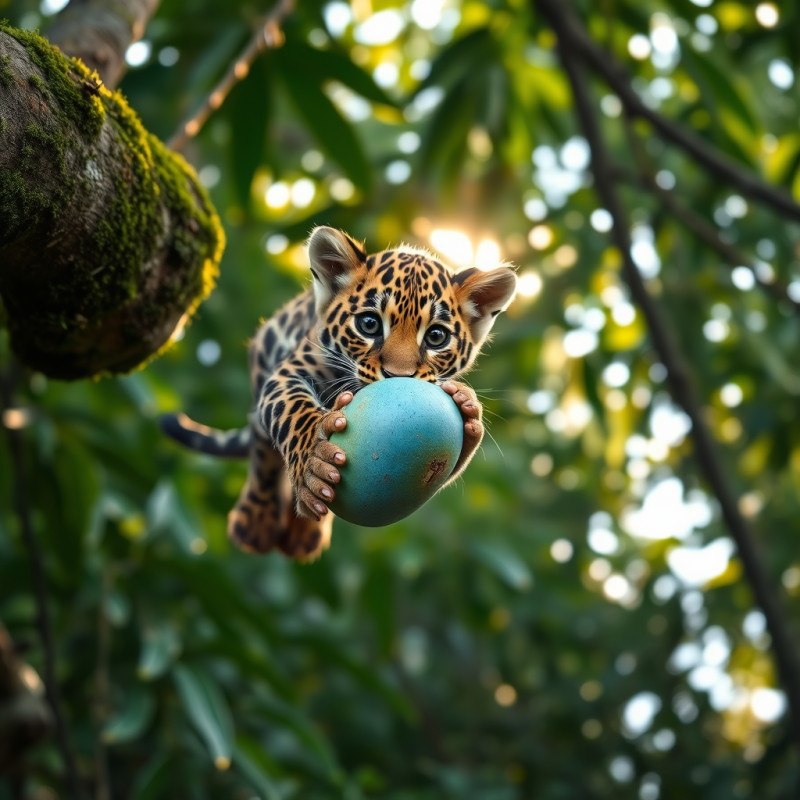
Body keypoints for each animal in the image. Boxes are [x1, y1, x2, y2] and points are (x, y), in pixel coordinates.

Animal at [161, 226, 517, 561]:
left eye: (436, 336)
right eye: (369, 324)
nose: (397, 377)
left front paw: (468, 411)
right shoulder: (290, 371)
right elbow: (293, 412)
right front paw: (313, 461)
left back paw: (303, 531)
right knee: (262, 449)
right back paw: (256, 522)